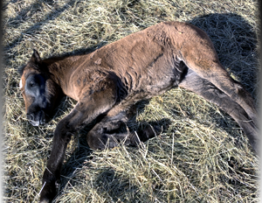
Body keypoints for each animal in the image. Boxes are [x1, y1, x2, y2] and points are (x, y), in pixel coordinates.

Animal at [18, 21, 258, 202]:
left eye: (31, 82)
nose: (31, 118)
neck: (75, 70)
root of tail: (191, 26)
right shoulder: (121, 104)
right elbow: (94, 137)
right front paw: (147, 131)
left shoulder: (103, 93)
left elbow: (65, 127)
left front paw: (47, 189)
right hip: (192, 80)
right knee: (228, 104)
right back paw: (253, 140)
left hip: (201, 61)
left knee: (237, 90)